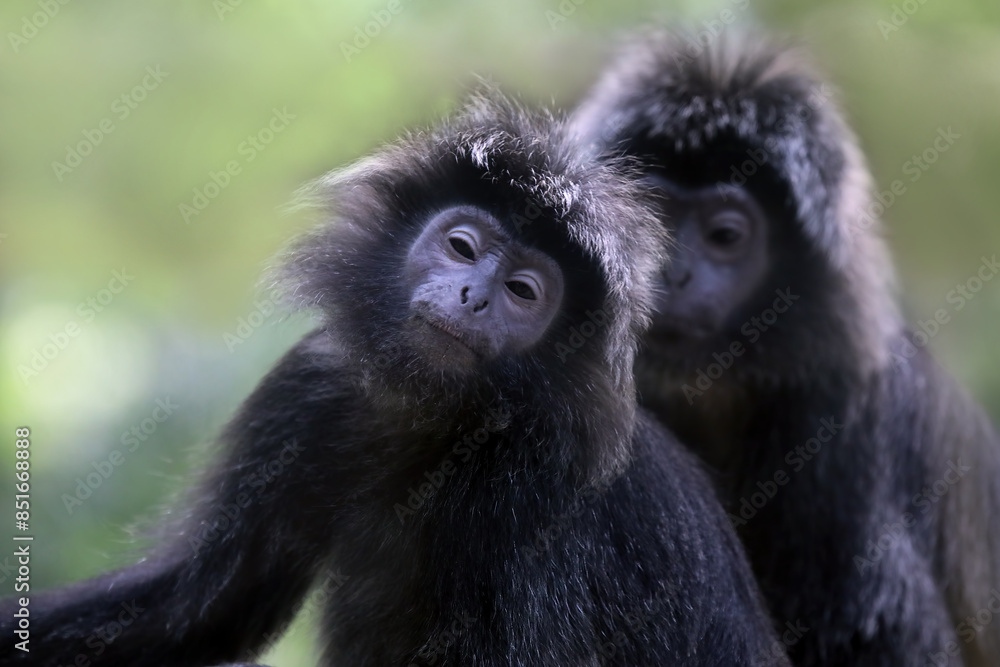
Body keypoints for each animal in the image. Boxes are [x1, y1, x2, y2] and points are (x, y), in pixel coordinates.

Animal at [0, 92, 790, 667]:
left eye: (524, 291)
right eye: (462, 246)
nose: (473, 296)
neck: (437, 420)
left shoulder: (541, 501)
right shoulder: (309, 389)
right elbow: (198, 606)